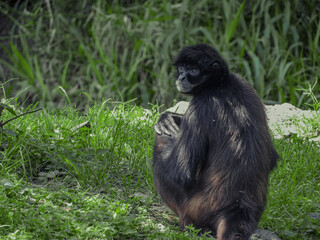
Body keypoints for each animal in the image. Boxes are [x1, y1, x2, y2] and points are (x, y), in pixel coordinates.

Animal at [152, 44, 278, 239]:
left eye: (193, 70)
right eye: (182, 68)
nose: (182, 77)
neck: (221, 84)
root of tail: (237, 209)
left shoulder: (201, 105)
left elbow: (179, 175)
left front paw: (166, 118)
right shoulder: (246, 85)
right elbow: (272, 158)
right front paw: (171, 117)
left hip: (191, 209)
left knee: (161, 143)